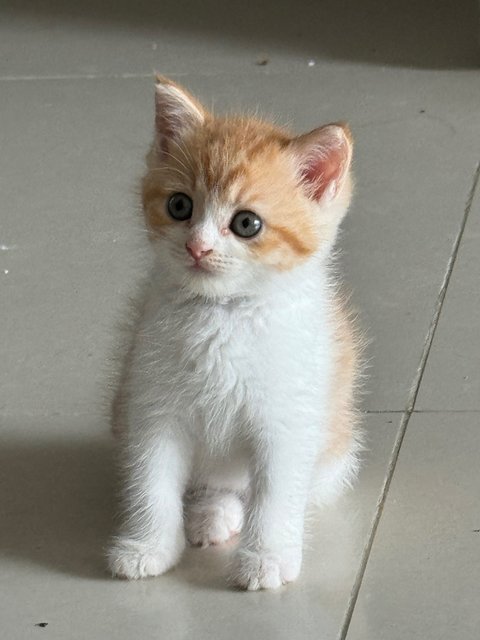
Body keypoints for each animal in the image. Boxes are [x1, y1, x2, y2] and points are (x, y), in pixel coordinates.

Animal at [109, 75, 362, 592]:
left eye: (247, 223)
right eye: (179, 206)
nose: (197, 247)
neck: (222, 316)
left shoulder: (287, 418)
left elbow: (276, 493)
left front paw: (267, 556)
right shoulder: (150, 405)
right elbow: (150, 481)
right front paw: (148, 547)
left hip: (337, 445)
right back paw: (209, 513)